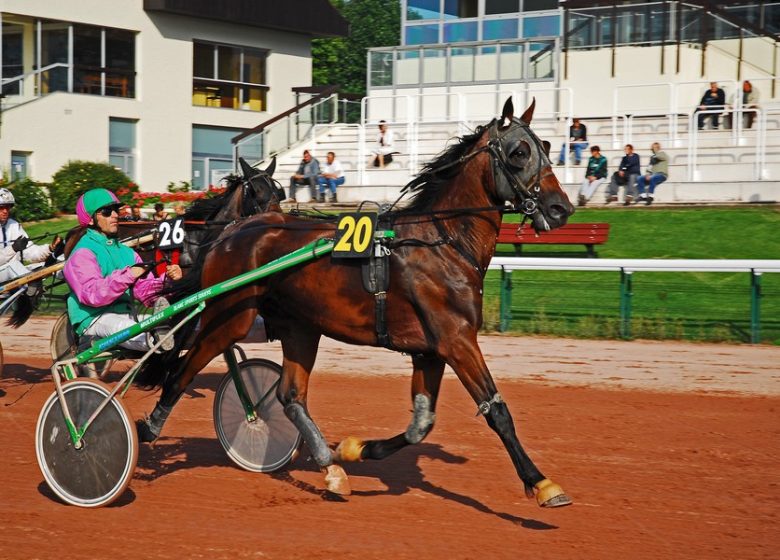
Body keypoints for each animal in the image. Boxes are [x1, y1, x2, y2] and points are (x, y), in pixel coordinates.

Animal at [140, 99, 576, 508]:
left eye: (546, 146)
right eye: (519, 152)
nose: (561, 208)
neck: (442, 243)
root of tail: (232, 230)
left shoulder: (431, 350)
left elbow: (421, 424)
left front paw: (355, 449)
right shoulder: (457, 340)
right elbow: (497, 411)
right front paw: (542, 484)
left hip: (300, 326)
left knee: (289, 396)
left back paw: (331, 469)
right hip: (229, 316)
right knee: (182, 371)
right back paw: (148, 429)